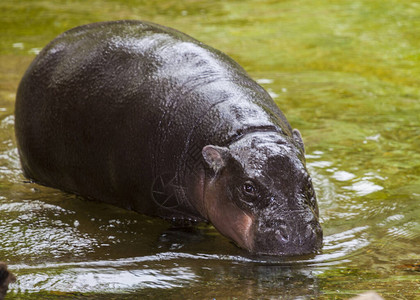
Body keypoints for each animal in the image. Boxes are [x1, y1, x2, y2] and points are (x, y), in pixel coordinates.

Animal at [13, 19, 322, 255]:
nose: (296, 234)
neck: (242, 135)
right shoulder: (170, 205)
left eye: (308, 182)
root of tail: (50, 45)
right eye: (248, 188)